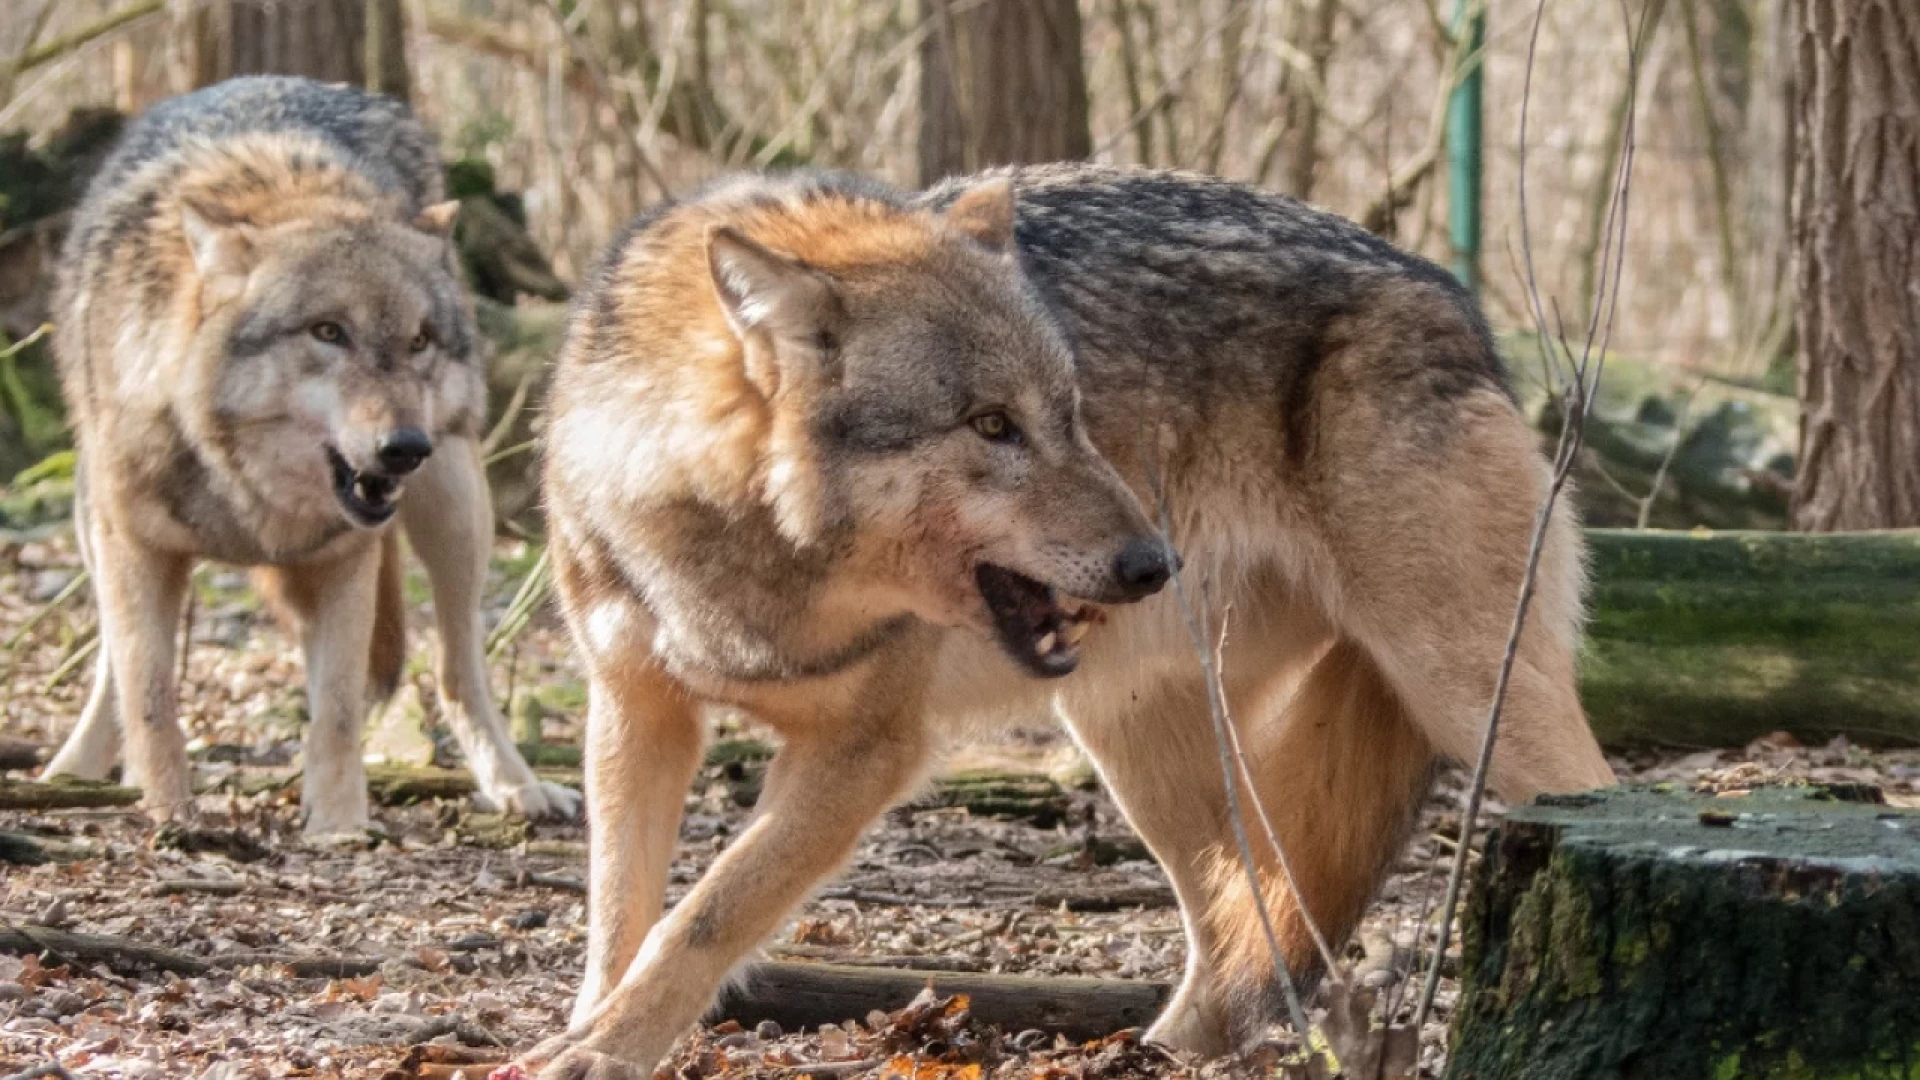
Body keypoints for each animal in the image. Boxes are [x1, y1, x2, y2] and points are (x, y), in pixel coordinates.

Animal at [41, 77, 572, 834]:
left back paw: (516, 785)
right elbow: (148, 692)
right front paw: (172, 812)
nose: (405, 448)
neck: (245, 491)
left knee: (457, 669)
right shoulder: (136, 547)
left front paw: (338, 827)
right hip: (93, 524)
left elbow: (341, 711)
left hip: (457, 507)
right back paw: (76, 771)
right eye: (328, 332)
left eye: (418, 341)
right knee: (113, 664)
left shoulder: (345, 559)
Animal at [518, 164, 1612, 1068]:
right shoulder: (635, 711)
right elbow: (620, 916)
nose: (1154, 563)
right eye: (992, 426)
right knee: (1243, 920)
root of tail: (1452, 300)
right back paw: (1167, 1053)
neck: (741, 559)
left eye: (1073, 413)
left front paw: (601, 1049)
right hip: (1137, 740)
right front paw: (587, 1027)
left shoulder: (867, 749)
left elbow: (703, 914)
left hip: (1472, 696)